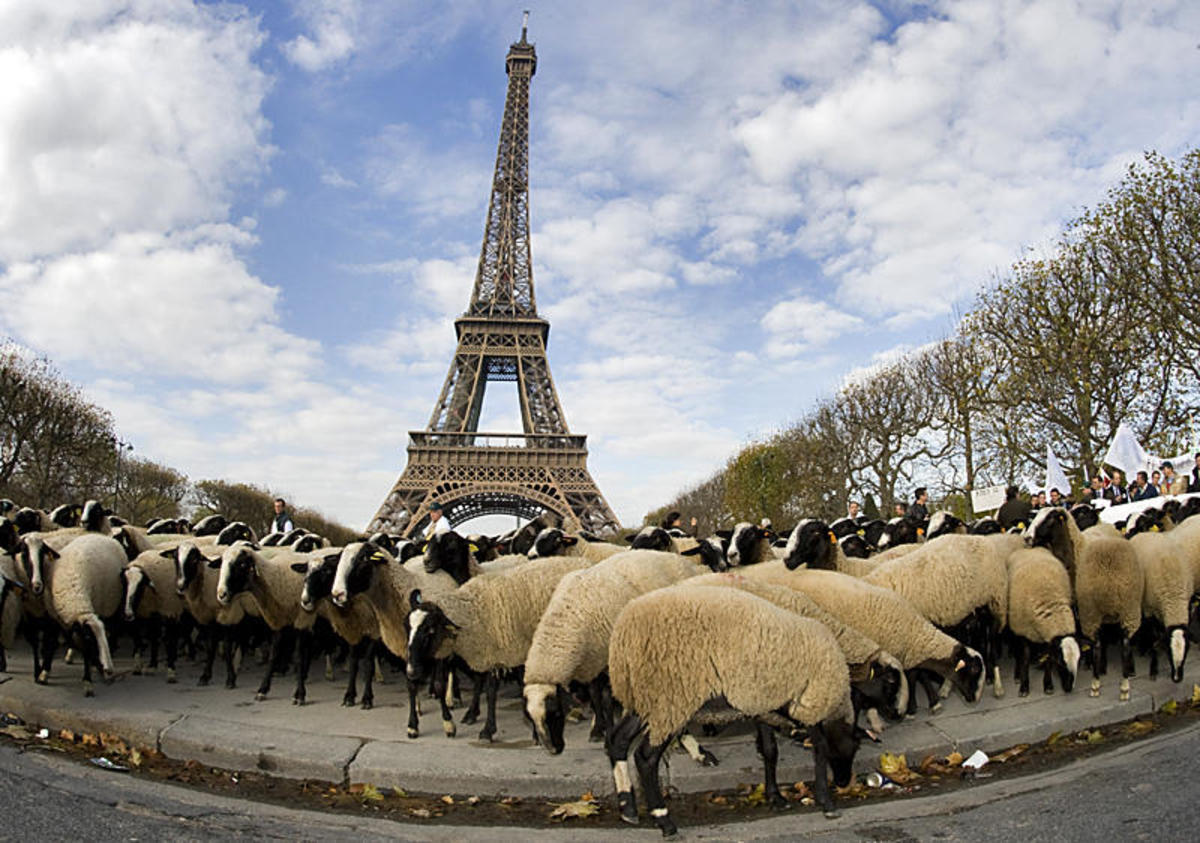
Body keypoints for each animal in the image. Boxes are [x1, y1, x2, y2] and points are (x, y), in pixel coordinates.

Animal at [408, 557, 595, 744]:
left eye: (430, 630)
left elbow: (510, 688)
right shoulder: (495, 654)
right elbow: (491, 692)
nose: (411, 671)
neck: (474, 611)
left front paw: (531, 730)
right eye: (407, 626)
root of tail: (582, 561)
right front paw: (489, 730)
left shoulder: (517, 652)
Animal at [609, 583, 873, 835]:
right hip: (671, 700)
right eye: (855, 747)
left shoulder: (765, 704)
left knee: (618, 740)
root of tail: (624, 635)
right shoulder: (810, 705)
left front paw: (775, 796)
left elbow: (770, 750)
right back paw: (663, 819)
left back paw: (627, 807)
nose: (843, 783)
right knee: (645, 758)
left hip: (646, 700)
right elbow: (820, 748)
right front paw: (826, 801)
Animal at [1003, 552, 1080, 696]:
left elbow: (1048, 659)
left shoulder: (1048, 638)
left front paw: (1048, 685)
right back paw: (1017, 675)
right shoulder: (1024, 630)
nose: (1069, 688)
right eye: (1061, 662)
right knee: (1016, 651)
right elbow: (1025, 658)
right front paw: (1024, 686)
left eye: (1079, 659)